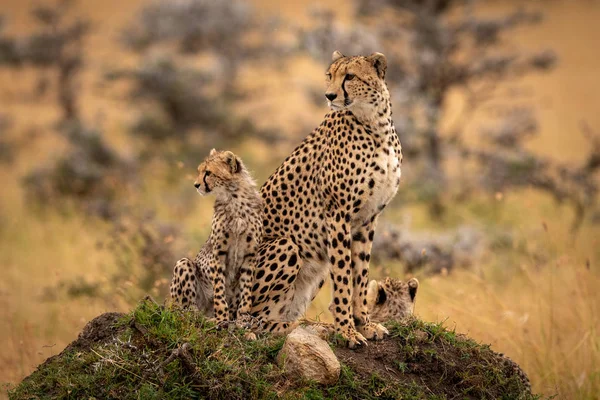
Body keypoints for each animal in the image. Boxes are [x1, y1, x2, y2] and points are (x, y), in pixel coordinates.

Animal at [248, 52, 404, 346]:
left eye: (350, 76)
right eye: (330, 75)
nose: (329, 95)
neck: (374, 124)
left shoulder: (368, 219)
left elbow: (360, 275)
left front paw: (365, 324)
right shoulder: (338, 215)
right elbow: (343, 277)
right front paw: (347, 330)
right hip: (286, 246)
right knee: (250, 318)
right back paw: (304, 327)